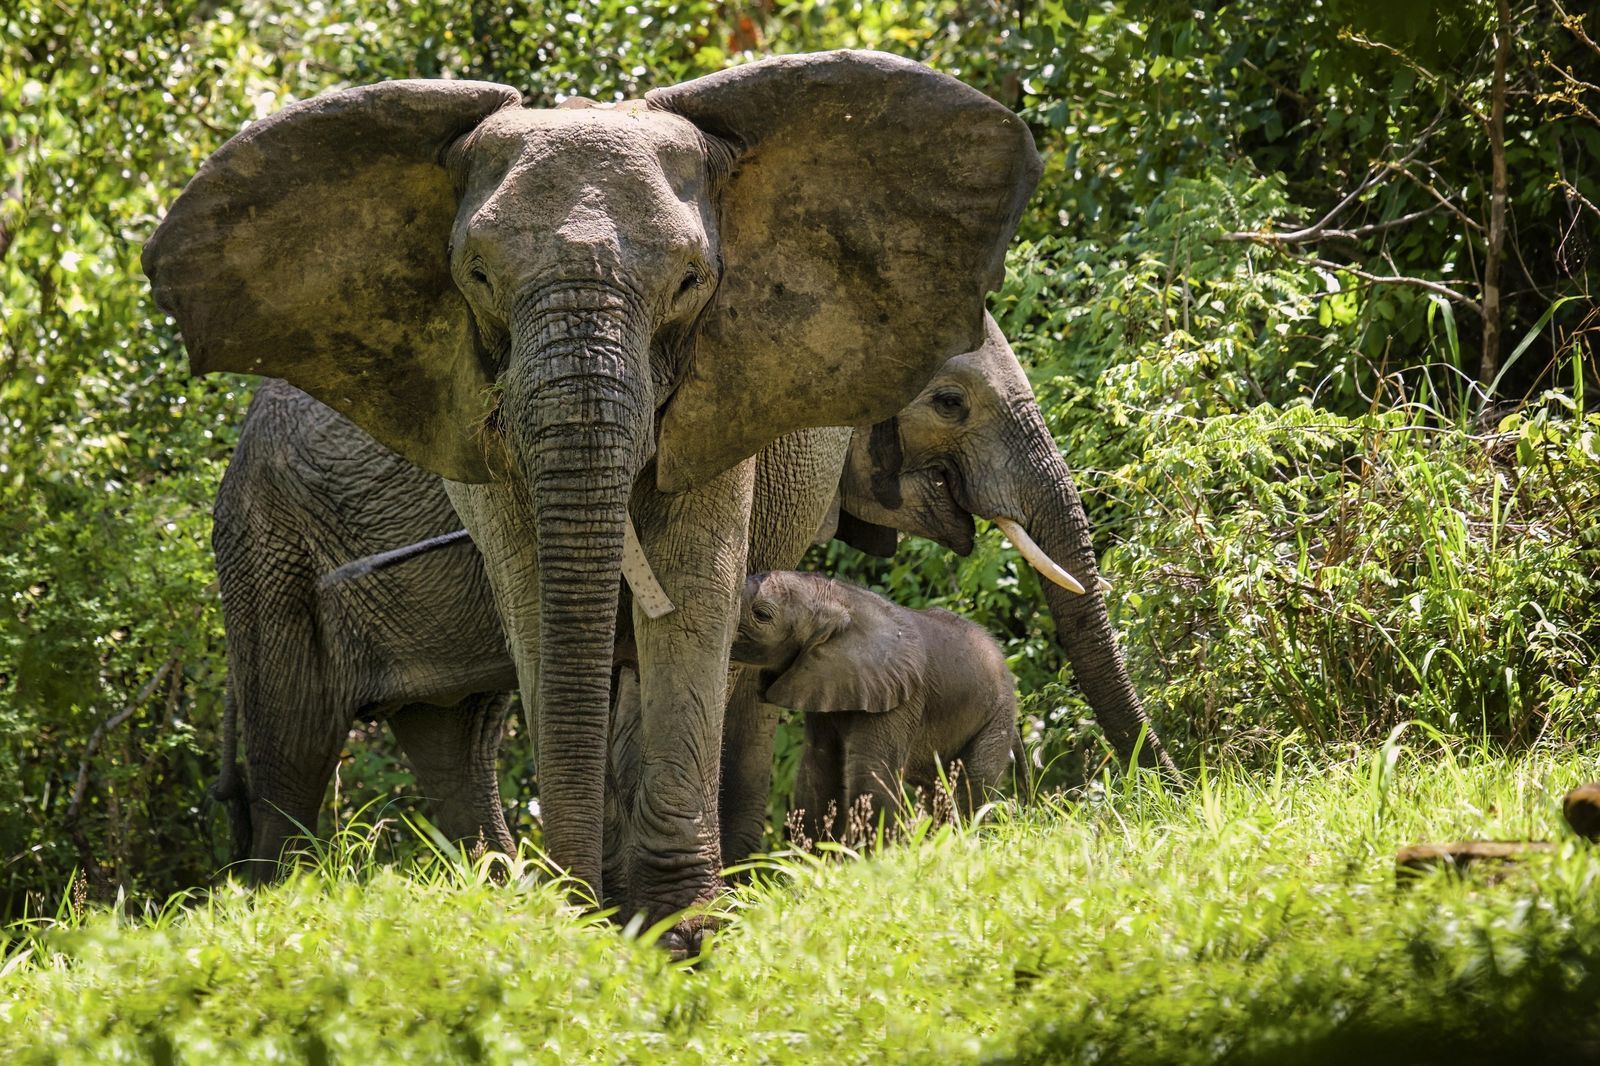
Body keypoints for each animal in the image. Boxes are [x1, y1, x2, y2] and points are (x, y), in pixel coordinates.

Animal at [730, 570, 1029, 846]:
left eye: (762, 615)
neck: (839, 601)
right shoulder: (822, 682)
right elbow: (818, 771)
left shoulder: (901, 694)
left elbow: (871, 773)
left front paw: (870, 860)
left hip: (997, 715)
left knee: (971, 784)